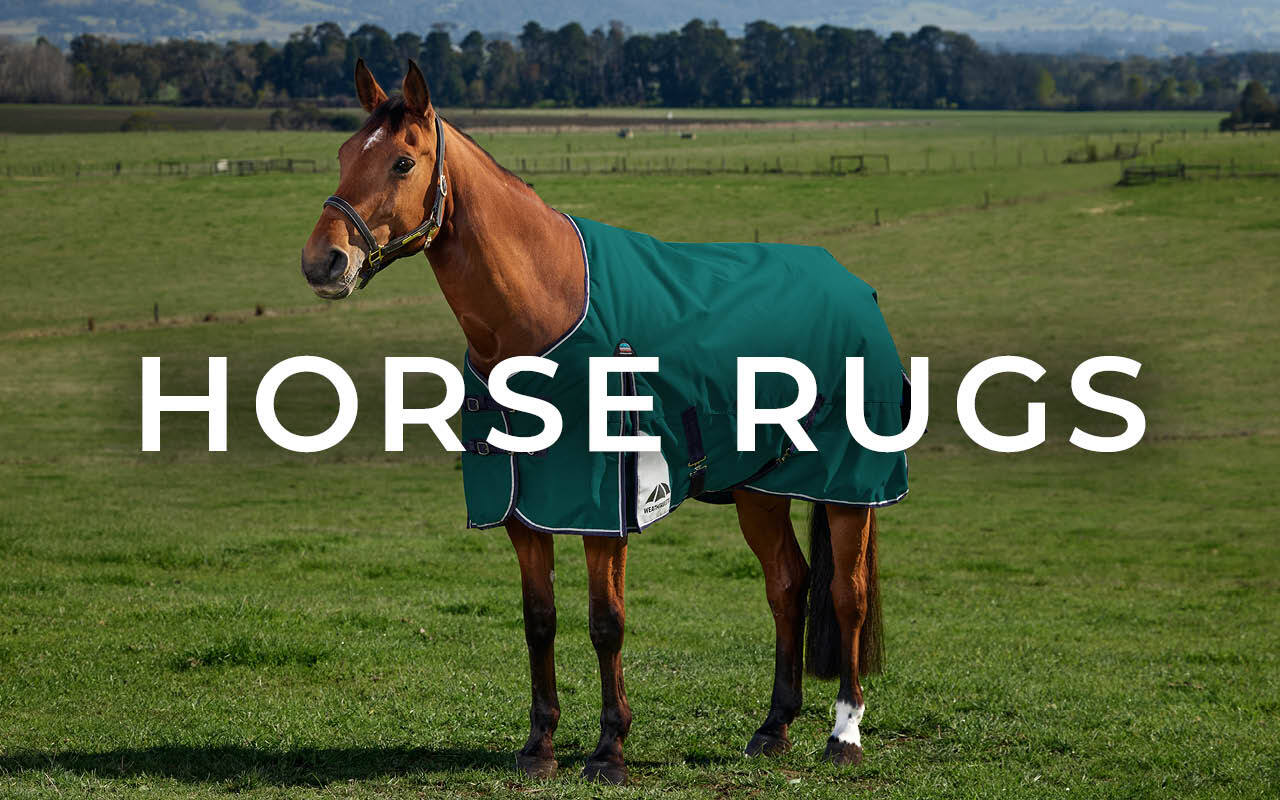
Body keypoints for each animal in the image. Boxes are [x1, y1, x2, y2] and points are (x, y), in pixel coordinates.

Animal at [301, 60, 895, 784]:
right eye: (341, 155)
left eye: (403, 161)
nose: (323, 261)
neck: (543, 309)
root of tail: (855, 287)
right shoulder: (524, 511)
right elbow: (539, 620)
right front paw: (539, 747)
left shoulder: (604, 511)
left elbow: (605, 621)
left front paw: (610, 748)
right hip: (760, 490)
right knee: (787, 585)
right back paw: (774, 727)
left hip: (849, 490)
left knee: (847, 596)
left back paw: (844, 734)